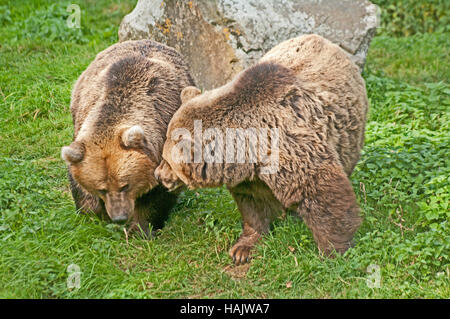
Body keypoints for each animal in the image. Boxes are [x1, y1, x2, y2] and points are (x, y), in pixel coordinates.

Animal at [60, 39, 194, 235]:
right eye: (102, 189)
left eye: (125, 185)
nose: (119, 217)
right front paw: (92, 214)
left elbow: (157, 194)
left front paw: (140, 228)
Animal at [155, 35, 370, 264]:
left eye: (166, 159)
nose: (158, 174)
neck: (248, 151)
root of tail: (324, 40)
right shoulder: (248, 177)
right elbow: (254, 206)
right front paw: (243, 249)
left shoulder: (291, 149)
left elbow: (321, 192)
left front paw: (334, 250)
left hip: (347, 134)